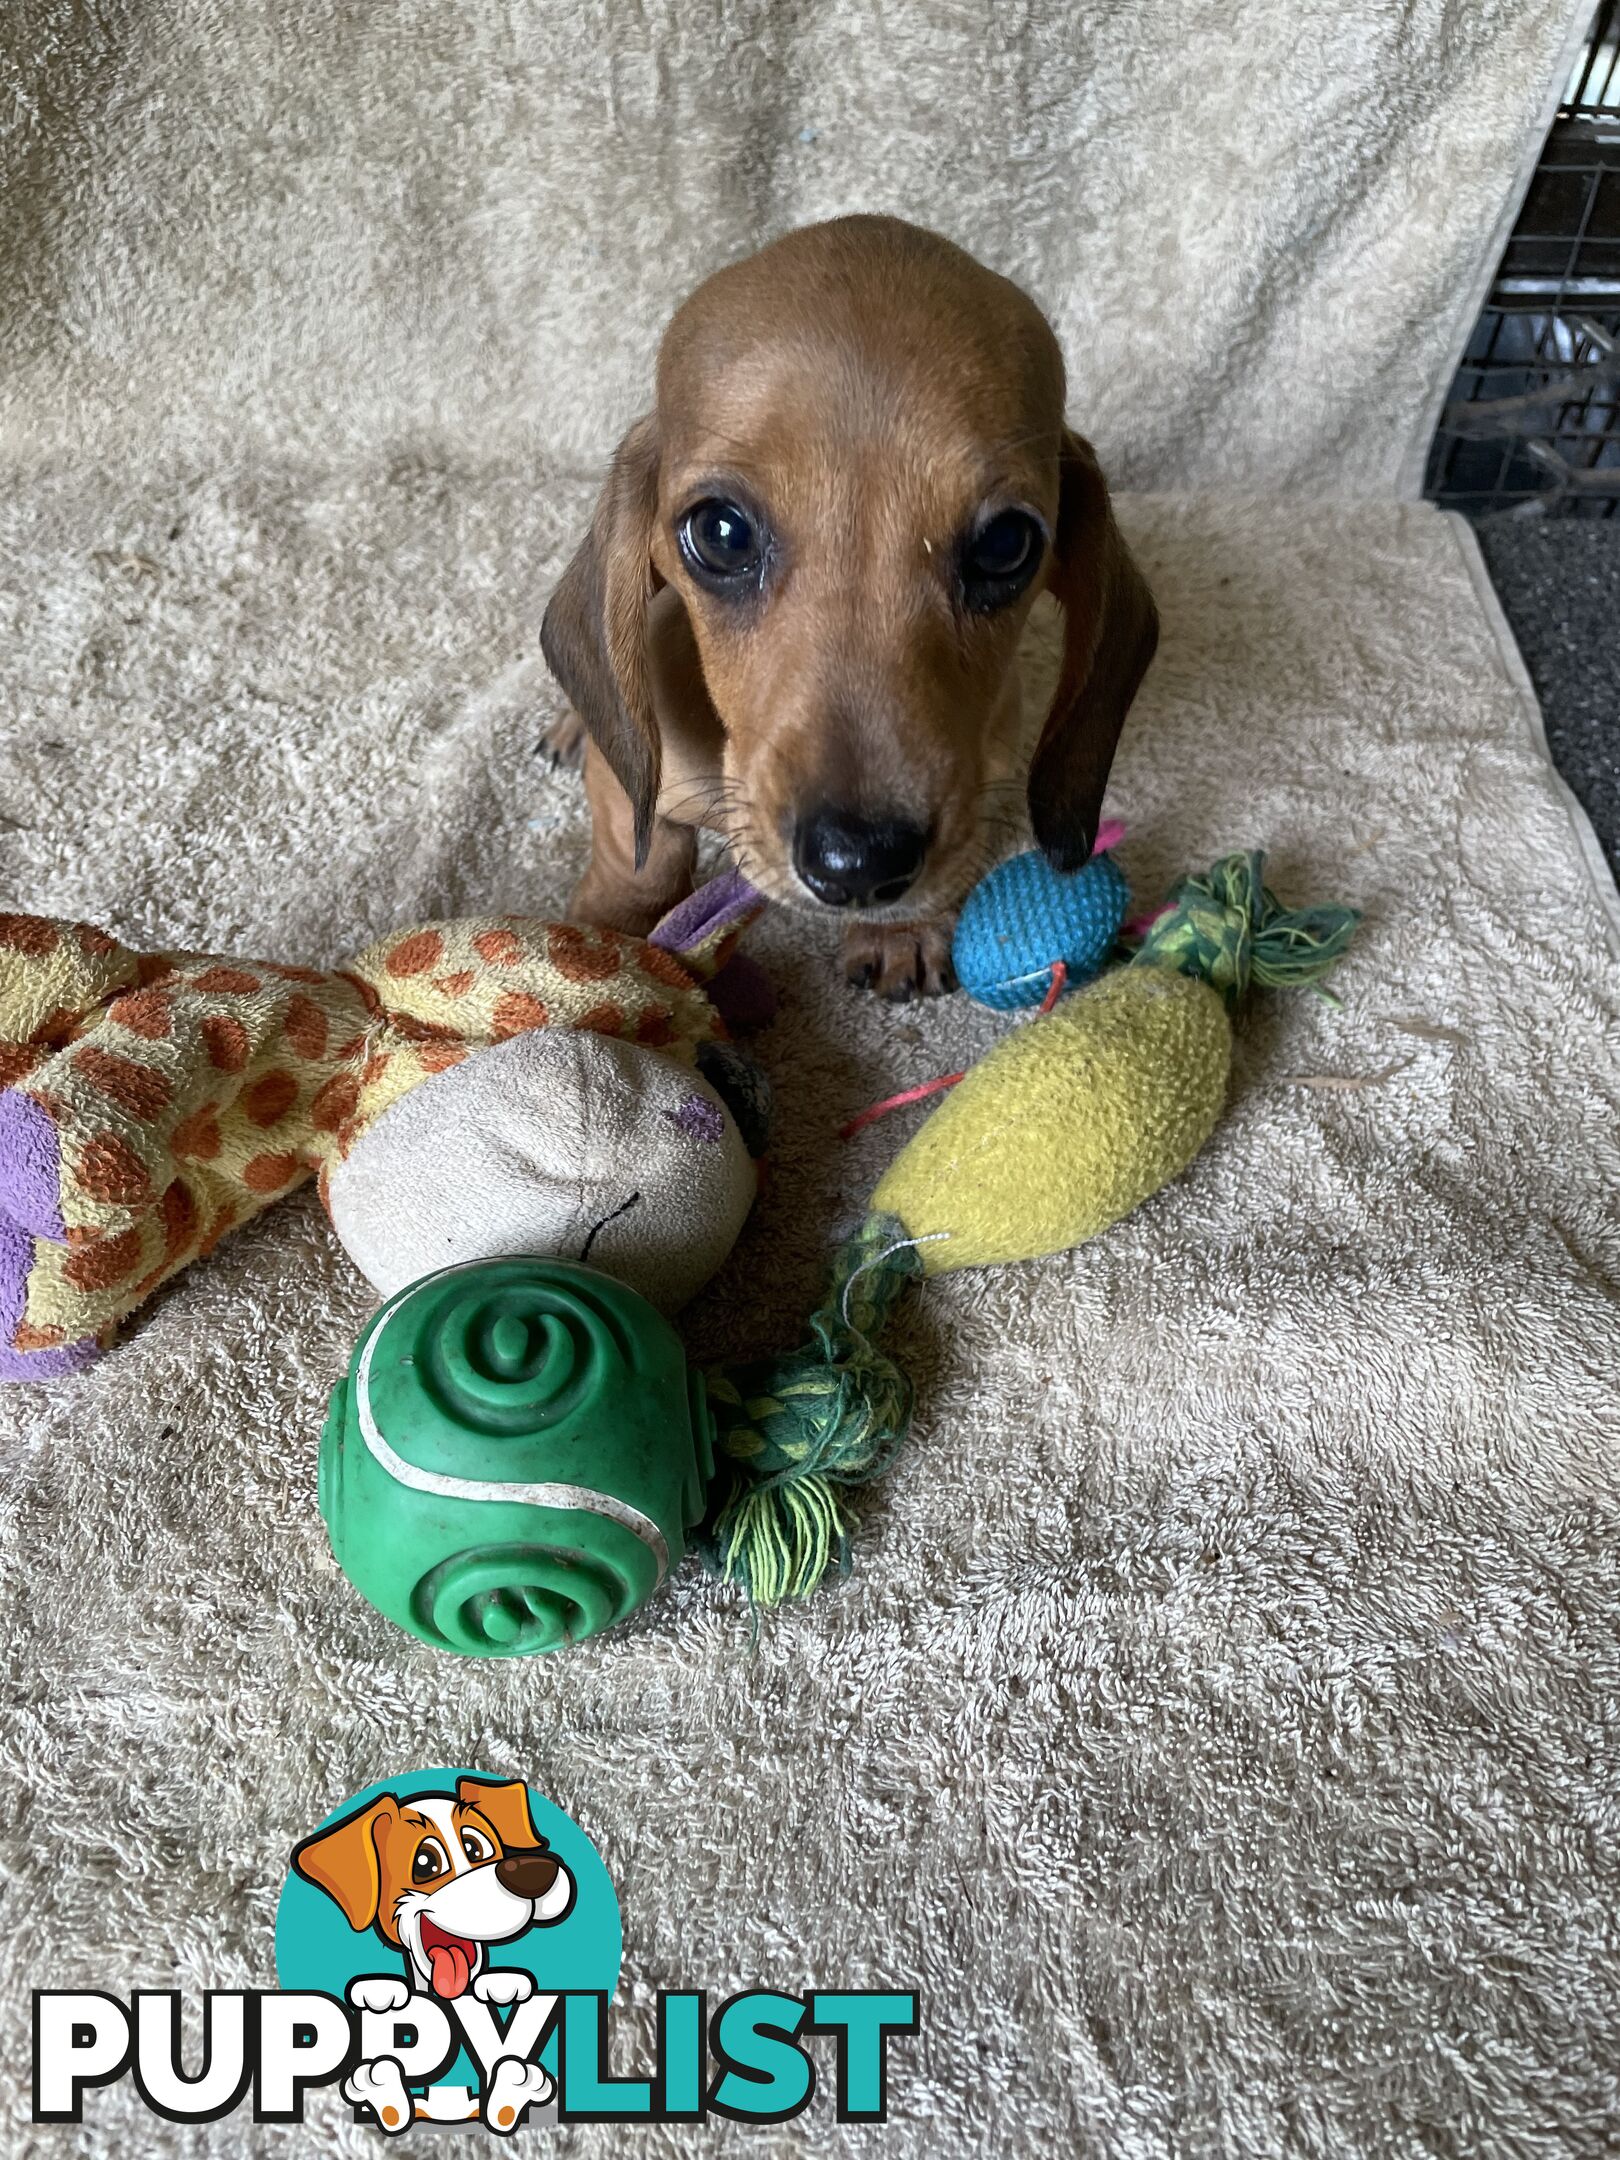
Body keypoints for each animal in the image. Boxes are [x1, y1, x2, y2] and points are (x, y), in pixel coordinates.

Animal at [546, 208, 1157, 993]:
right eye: (720, 533)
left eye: (1005, 544)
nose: (858, 865)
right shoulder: (641, 775)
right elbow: (642, 852)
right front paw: (607, 934)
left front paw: (900, 932)